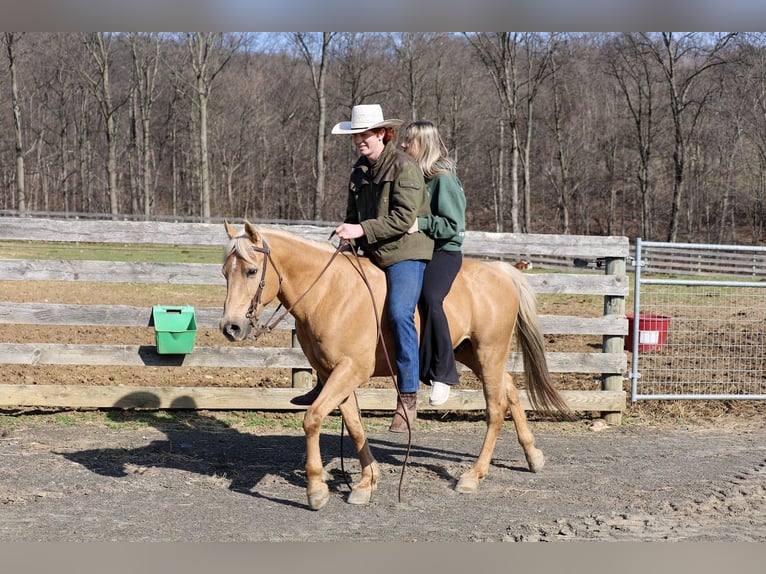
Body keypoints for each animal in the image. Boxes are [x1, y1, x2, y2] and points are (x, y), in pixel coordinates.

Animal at [219, 220, 574, 510]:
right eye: (224, 273)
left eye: (251, 271)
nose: (231, 327)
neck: (329, 292)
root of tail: (502, 271)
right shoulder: (333, 373)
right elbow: (355, 425)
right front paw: (367, 481)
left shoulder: (350, 370)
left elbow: (313, 418)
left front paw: (316, 489)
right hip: (469, 353)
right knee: (511, 389)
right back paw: (533, 456)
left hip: (490, 352)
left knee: (496, 409)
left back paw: (473, 476)